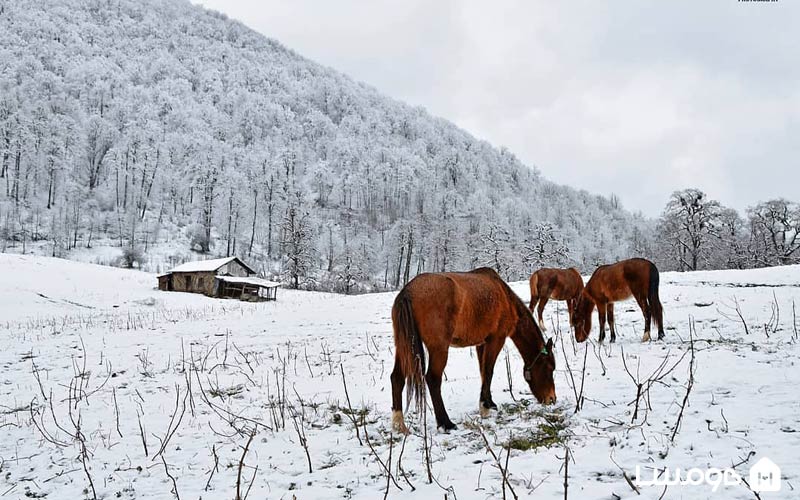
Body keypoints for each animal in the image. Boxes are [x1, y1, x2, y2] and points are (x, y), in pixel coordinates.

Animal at [390, 268, 552, 432]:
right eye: (550, 368)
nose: (552, 399)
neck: (505, 297)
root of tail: (408, 291)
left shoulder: (481, 344)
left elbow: (483, 372)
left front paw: (489, 402)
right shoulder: (496, 340)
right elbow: (488, 371)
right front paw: (485, 407)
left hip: (403, 347)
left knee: (396, 378)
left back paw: (399, 424)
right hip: (439, 349)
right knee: (433, 379)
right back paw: (446, 423)